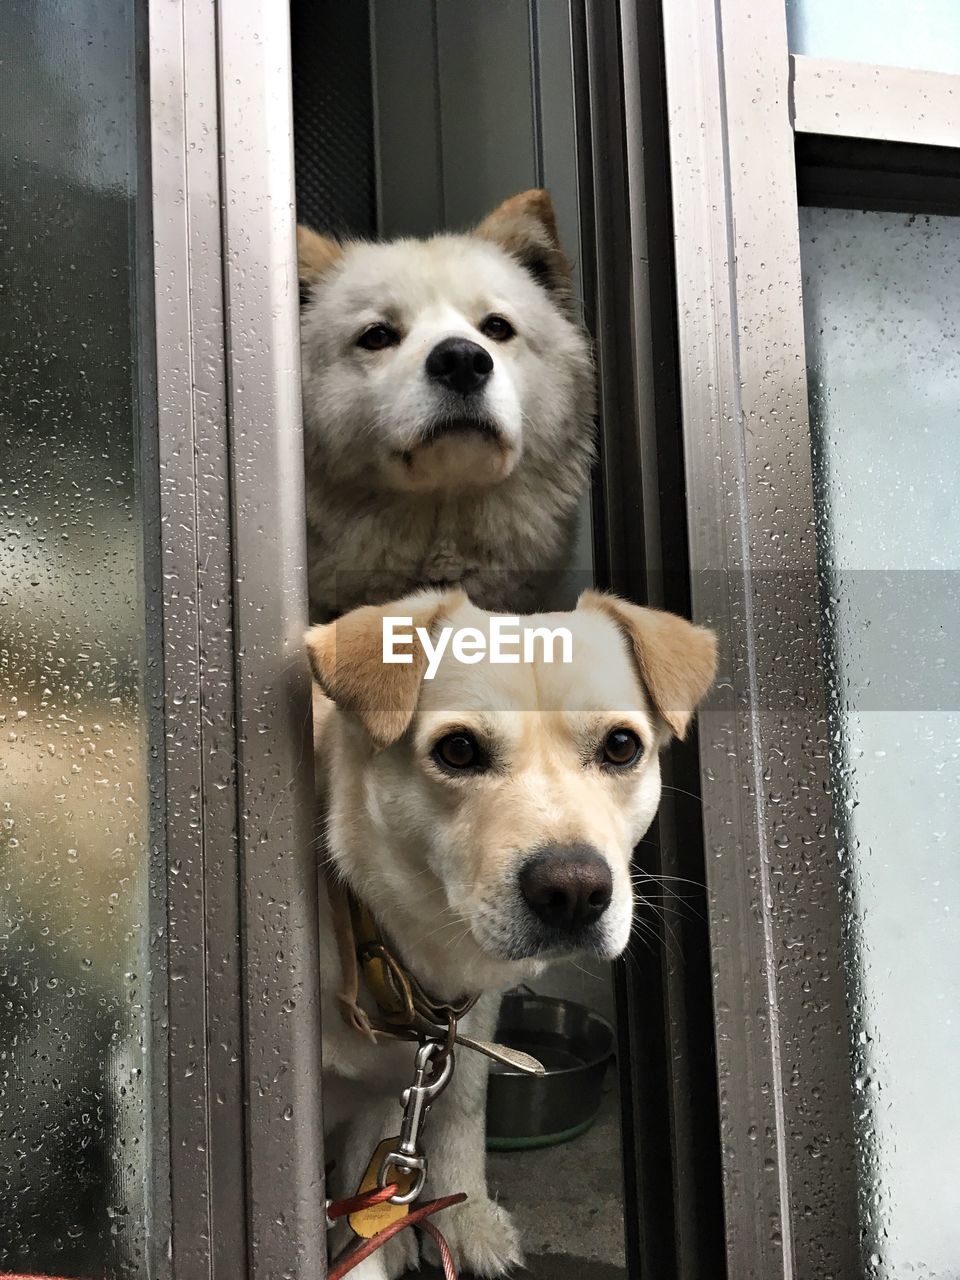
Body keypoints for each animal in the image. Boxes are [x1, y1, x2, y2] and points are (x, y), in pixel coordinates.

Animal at [308, 588, 716, 1280]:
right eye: (459, 751)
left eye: (620, 746)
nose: (574, 891)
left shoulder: (457, 1034)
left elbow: (457, 1112)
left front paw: (461, 1218)